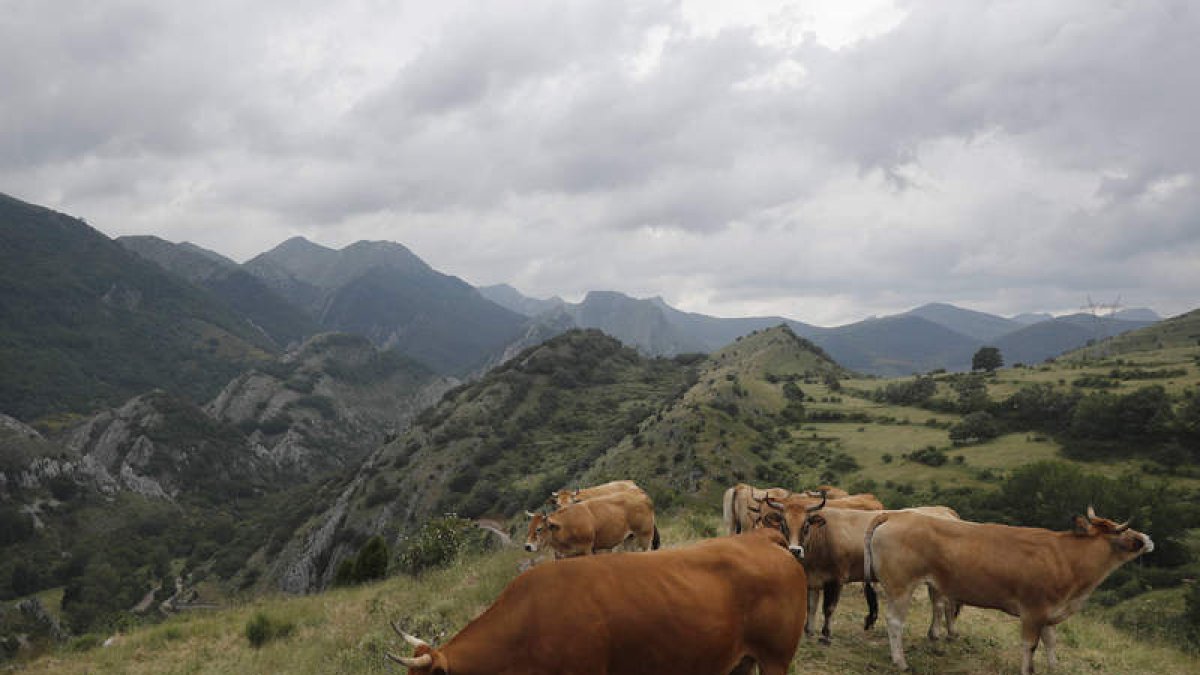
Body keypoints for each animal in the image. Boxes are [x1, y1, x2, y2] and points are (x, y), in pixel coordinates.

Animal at [524, 491, 659, 558]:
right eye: (529, 528)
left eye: (539, 529)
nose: (527, 546)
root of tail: (643, 496)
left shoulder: (587, 549)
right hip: (629, 539)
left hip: (645, 536)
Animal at [864, 506, 1154, 674]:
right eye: (1123, 533)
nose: (1147, 538)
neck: (1067, 558)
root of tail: (895, 514)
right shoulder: (1033, 611)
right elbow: (1030, 646)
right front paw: (1028, 669)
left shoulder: (1049, 613)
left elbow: (1051, 642)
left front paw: (1054, 667)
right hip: (900, 586)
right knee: (895, 622)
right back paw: (900, 661)